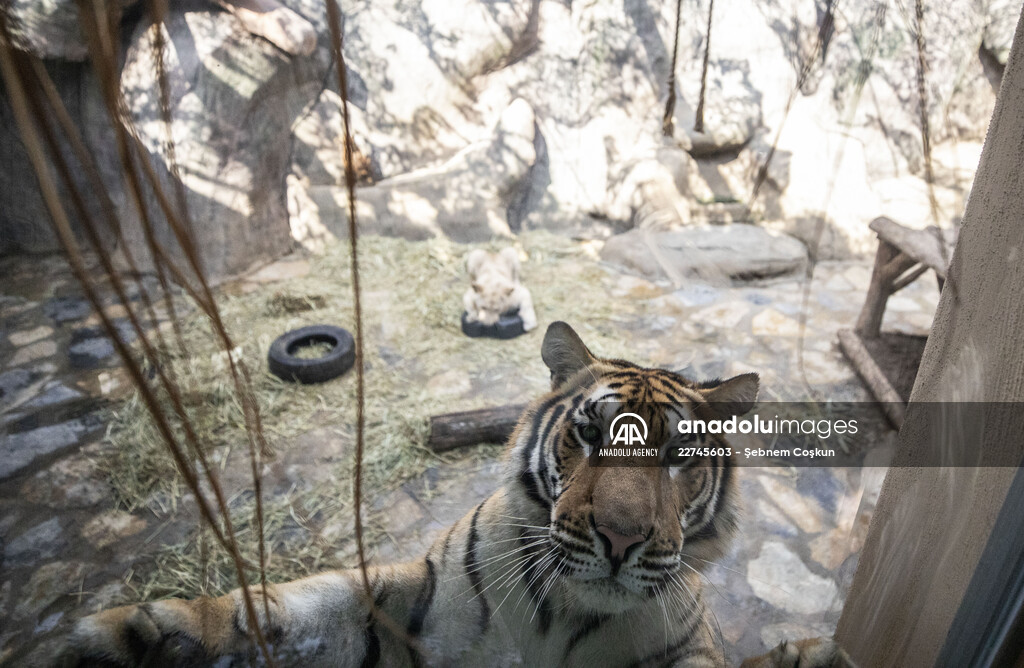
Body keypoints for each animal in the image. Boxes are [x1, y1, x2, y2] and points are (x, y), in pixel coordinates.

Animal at [59, 322, 851, 667]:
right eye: (590, 433)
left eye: (678, 456)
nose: (620, 539)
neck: (568, 614)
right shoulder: (415, 599)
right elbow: (301, 606)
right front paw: (145, 638)